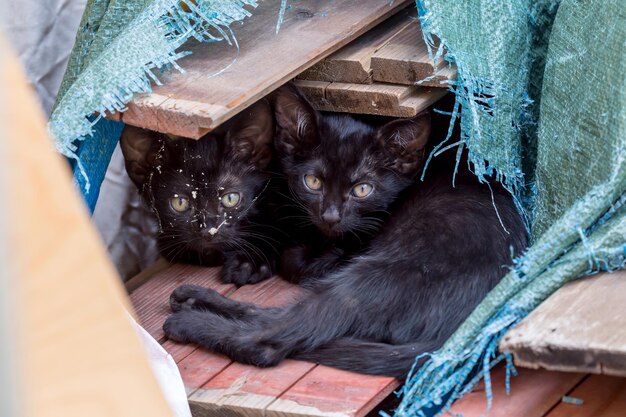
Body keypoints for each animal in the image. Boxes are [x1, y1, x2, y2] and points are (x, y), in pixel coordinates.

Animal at [162, 84, 528, 376]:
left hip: (373, 276)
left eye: (362, 189)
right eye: (312, 181)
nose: (331, 215)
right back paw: (192, 299)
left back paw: (190, 319)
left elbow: (297, 260)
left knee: (269, 338)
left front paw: (299, 256)